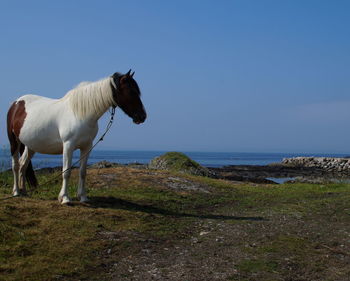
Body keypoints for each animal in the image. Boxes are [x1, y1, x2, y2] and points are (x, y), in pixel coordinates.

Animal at [6, 69, 146, 202]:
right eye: (132, 92)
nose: (142, 116)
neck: (81, 114)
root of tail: (17, 103)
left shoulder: (87, 146)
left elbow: (83, 172)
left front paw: (83, 197)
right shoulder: (68, 145)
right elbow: (66, 171)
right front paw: (64, 198)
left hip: (30, 145)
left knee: (23, 165)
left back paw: (24, 191)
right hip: (14, 142)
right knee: (15, 166)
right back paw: (16, 192)